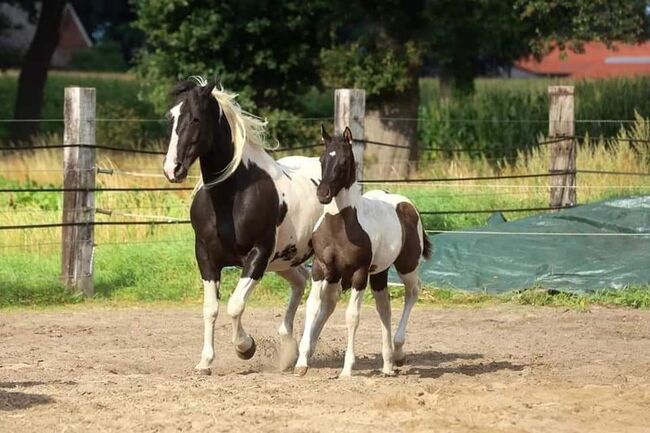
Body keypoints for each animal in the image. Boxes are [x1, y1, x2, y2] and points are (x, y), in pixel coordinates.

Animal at [162, 78, 318, 374]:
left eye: (196, 118)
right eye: (171, 117)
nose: (172, 169)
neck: (231, 198)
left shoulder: (258, 256)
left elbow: (235, 305)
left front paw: (246, 348)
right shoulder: (206, 257)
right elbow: (211, 308)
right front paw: (205, 363)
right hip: (285, 261)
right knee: (301, 282)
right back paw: (289, 350)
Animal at [294, 126, 430, 376]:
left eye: (344, 161)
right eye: (321, 159)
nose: (323, 194)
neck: (339, 224)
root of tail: (407, 204)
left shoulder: (359, 273)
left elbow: (352, 316)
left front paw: (347, 369)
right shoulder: (320, 268)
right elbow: (312, 307)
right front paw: (301, 363)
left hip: (407, 266)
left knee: (412, 292)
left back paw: (398, 351)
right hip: (378, 273)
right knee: (384, 307)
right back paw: (387, 364)